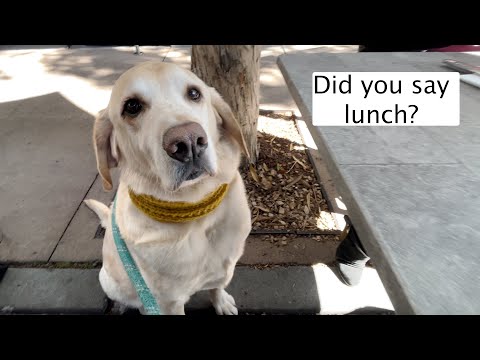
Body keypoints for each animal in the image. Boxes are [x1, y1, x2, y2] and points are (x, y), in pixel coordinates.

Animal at [85, 60, 253, 314]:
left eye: (194, 93)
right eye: (132, 106)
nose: (188, 141)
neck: (195, 213)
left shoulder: (226, 265)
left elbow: (217, 286)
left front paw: (221, 302)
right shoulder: (167, 302)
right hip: (109, 281)